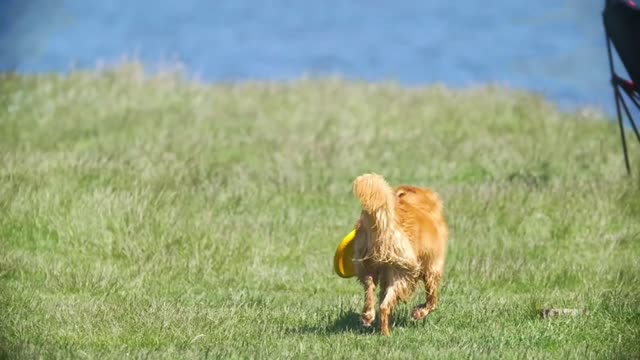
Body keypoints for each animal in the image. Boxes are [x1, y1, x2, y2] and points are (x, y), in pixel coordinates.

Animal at [348, 173, 448, 336]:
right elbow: (432, 300)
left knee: (373, 293)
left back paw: (369, 317)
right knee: (384, 306)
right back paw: (386, 334)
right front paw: (419, 313)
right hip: (403, 272)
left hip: (369, 266)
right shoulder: (433, 268)